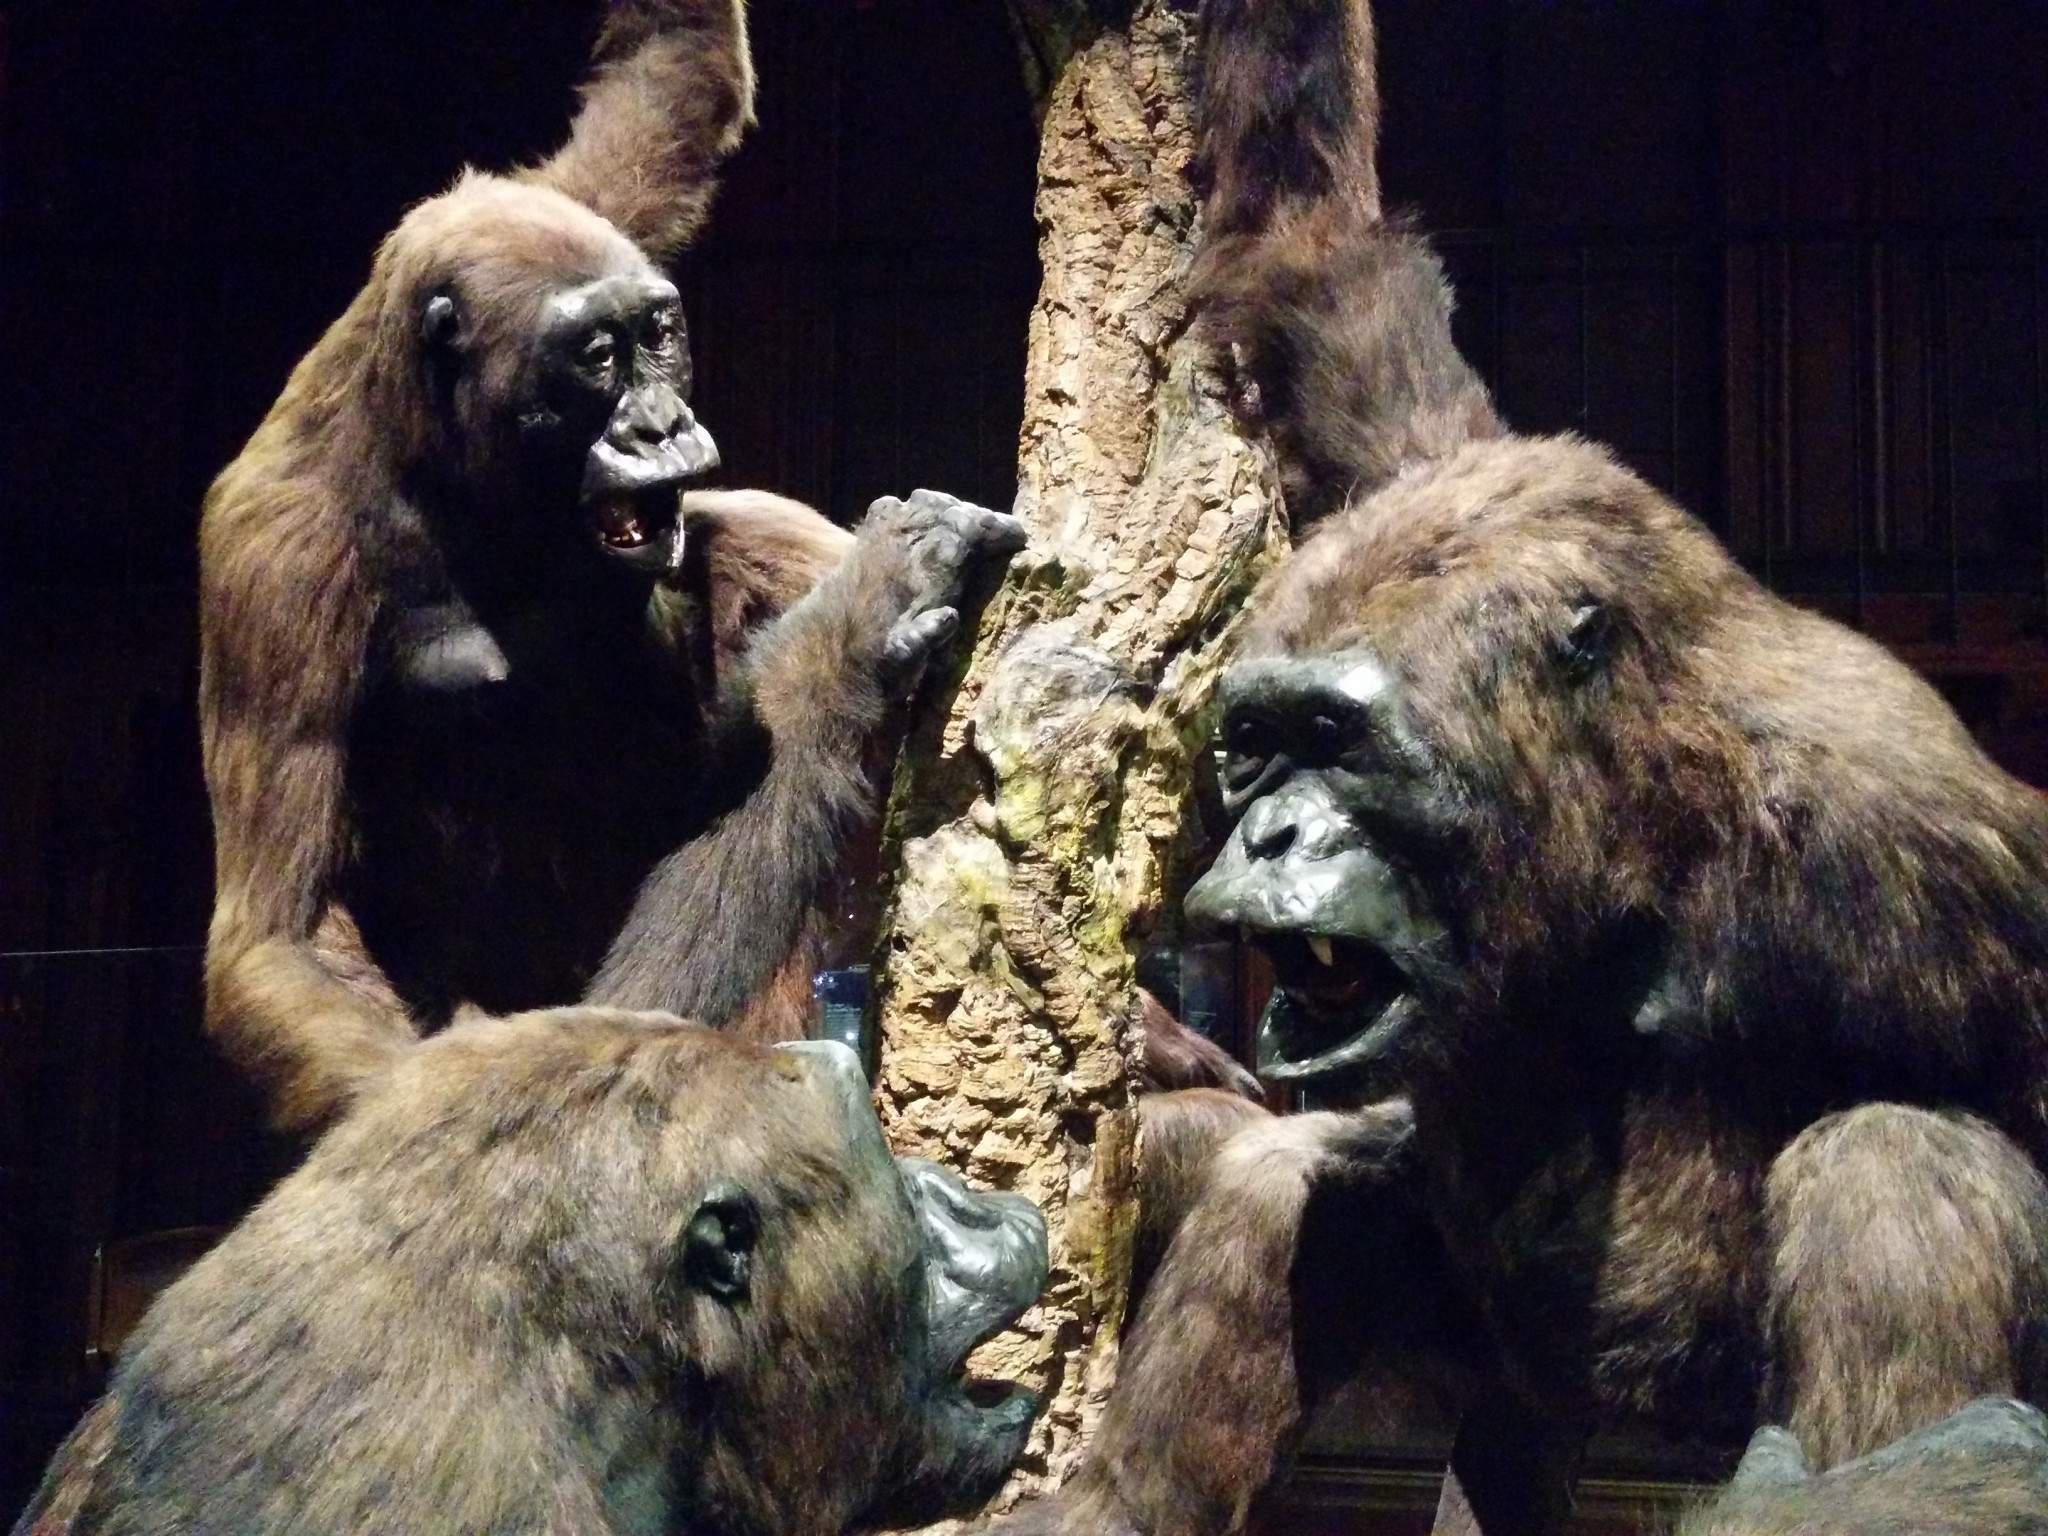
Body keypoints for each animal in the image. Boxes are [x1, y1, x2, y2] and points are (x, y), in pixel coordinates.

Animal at [199, 0, 1024, 1130]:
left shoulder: (584, 208)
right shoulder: (272, 575)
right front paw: (857, 627)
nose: (658, 422)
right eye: (596, 356)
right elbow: (283, 934)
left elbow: (674, 84)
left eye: (658, 332)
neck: (458, 459)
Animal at [987, 3, 2048, 1536]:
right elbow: (1309, 245)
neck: (1647, 825)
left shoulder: (1940, 850)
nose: (1273, 836)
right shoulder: (1410, 458)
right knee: (1304, 1196)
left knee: (1895, 1170)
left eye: (1340, 743)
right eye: (1256, 745)